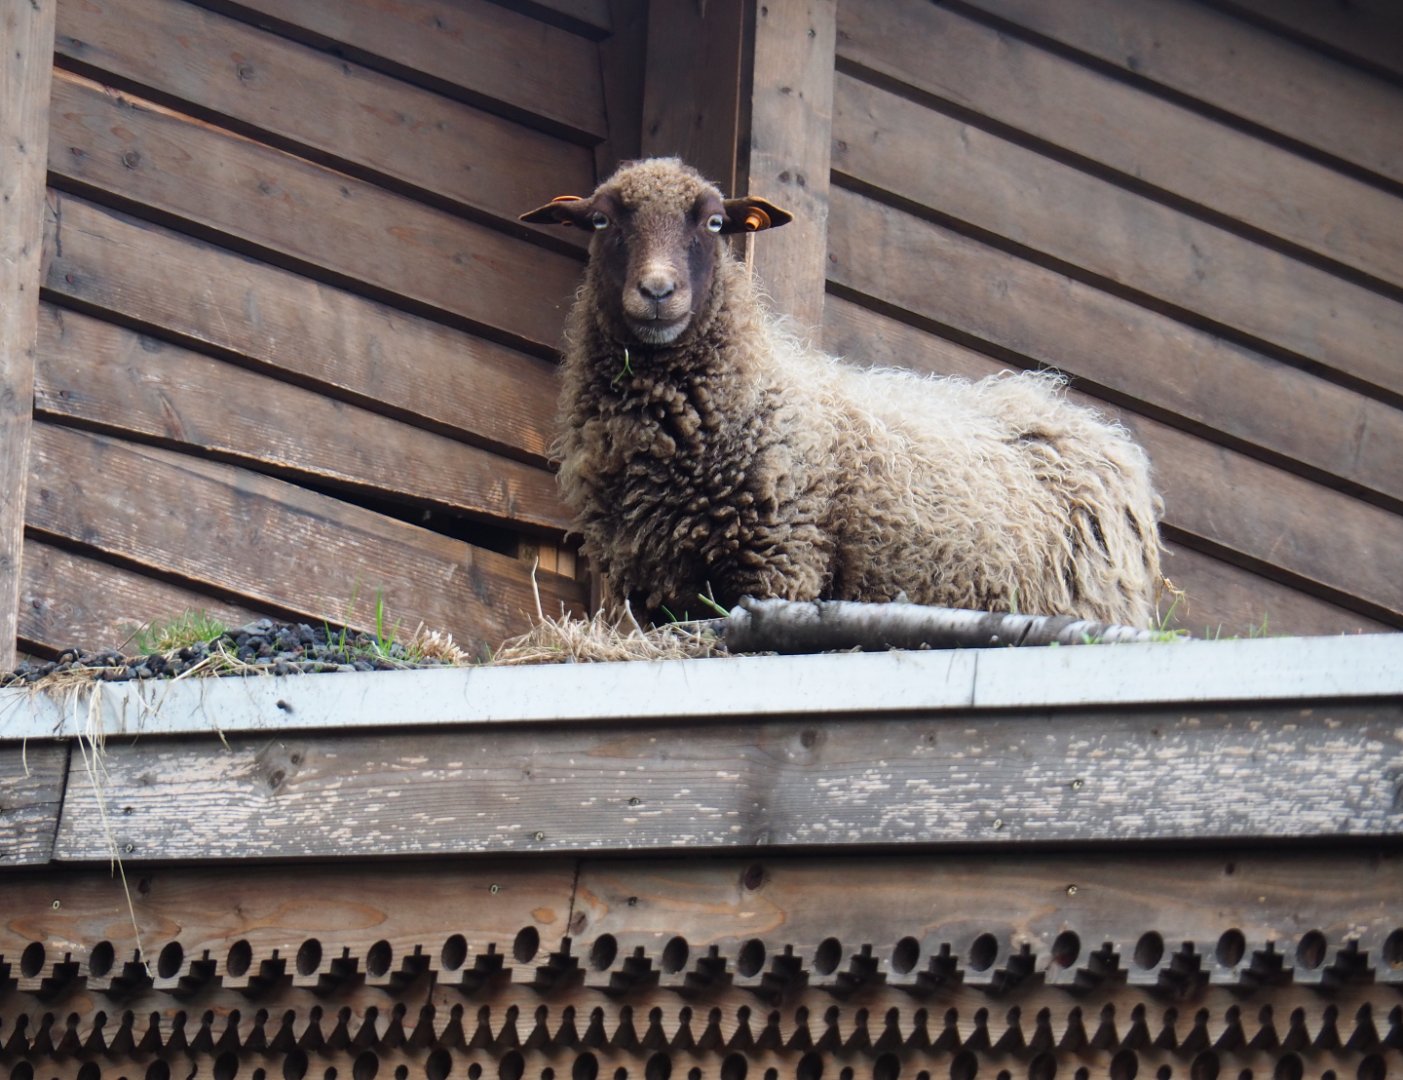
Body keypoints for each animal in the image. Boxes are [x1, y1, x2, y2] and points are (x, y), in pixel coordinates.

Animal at [521, 158, 1163, 627]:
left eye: (714, 224)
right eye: (601, 222)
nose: (657, 292)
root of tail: (1077, 418)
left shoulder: (781, 562)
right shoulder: (655, 582)